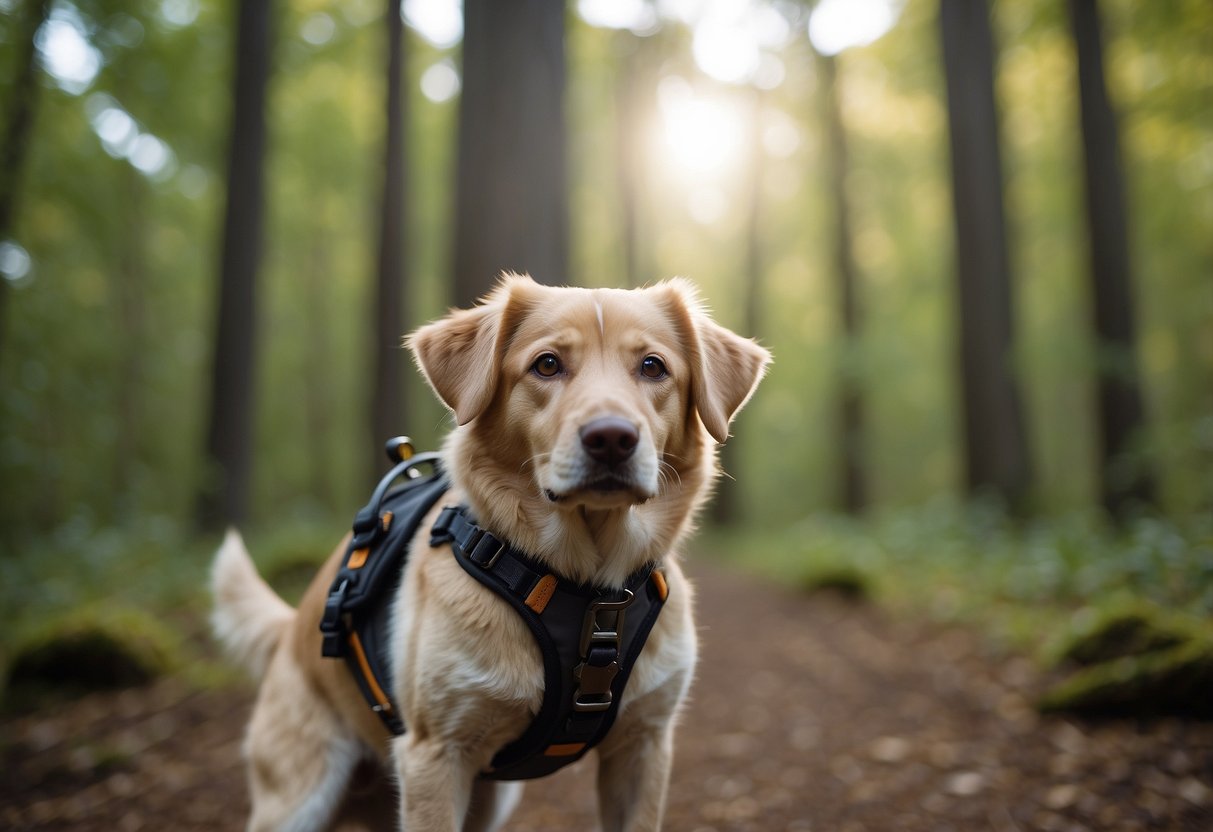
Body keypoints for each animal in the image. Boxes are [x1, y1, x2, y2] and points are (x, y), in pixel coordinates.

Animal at [211, 276, 766, 829]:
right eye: (547, 364)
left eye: (653, 366)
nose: (611, 437)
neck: (587, 587)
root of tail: (291, 629)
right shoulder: (435, 755)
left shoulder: (643, 745)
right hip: (300, 799)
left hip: (488, 800)